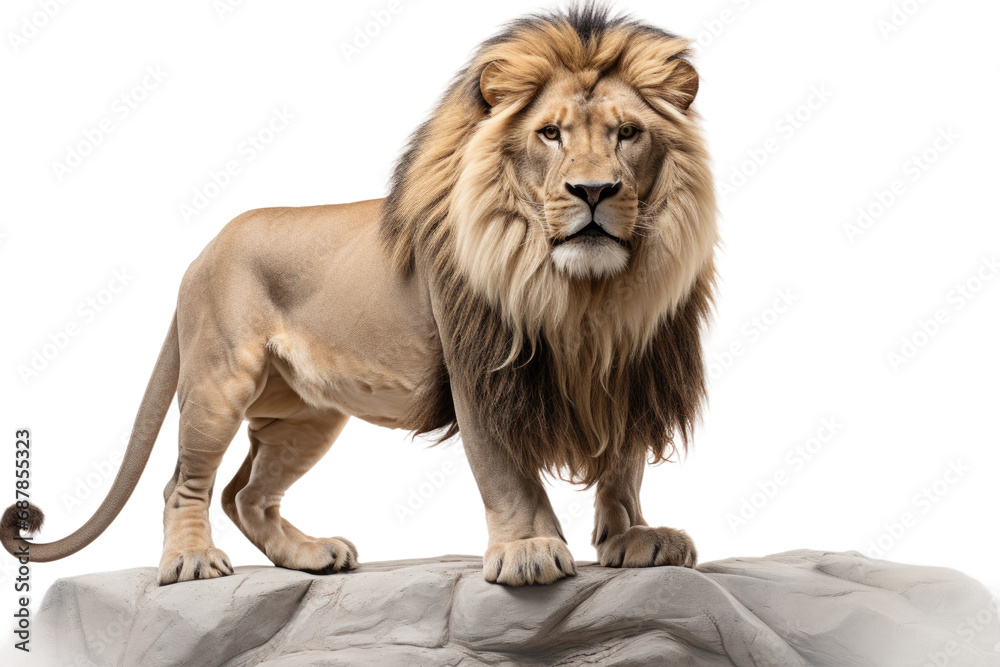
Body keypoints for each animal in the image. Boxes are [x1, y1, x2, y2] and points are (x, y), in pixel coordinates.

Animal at [1, 5, 716, 587]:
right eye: (550, 134)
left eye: (627, 133)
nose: (593, 191)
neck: (587, 293)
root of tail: (201, 252)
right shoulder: (480, 372)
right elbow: (506, 472)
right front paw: (529, 550)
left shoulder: (636, 365)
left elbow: (624, 465)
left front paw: (634, 537)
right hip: (217, 380)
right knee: (185, 482)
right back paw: (191, 562)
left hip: (304, 415)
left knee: (245, 493)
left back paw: (310, 555)